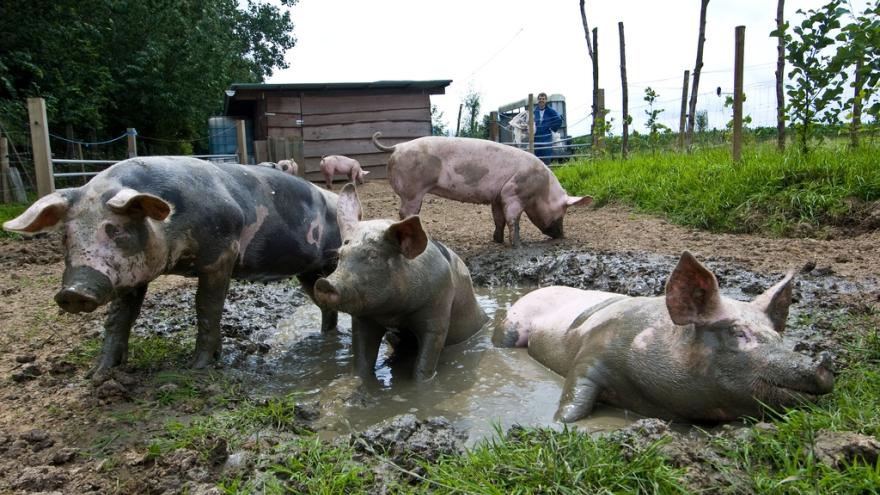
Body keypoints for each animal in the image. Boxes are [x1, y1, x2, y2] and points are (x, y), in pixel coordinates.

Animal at [372, 132, 592, 248]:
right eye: (563, 211)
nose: (561, 235)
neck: (542, 188)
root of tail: (397, 147)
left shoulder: (497, 197)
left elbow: (499, 219)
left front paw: (498, 241)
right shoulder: (513, 193)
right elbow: (513, 219)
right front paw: (518, 245)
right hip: (413, 191)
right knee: (406, 212)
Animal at [498, 254, 836, 424]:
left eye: (779, 337)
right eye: (738, 332)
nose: (822, 362)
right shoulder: (594, 350)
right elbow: (576, 391)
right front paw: (559, 422)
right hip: (509, 328)